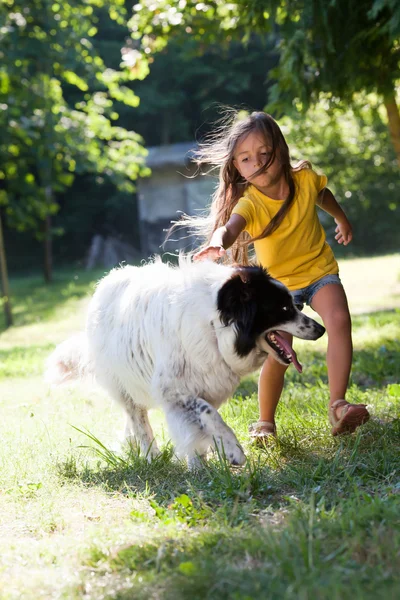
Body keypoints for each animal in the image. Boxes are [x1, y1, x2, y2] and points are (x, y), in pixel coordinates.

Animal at [45, 256, 324, 464]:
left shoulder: (207, 384)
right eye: (284, 309)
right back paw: (151, 455)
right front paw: (232, 452)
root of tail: (102, 288)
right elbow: (207, 413)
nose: (321, 329)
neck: (215, 326)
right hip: (123, 380)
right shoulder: (172, 389)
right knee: (137, 416)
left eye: (294, 305)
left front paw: (202, 460)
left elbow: (200, 423)